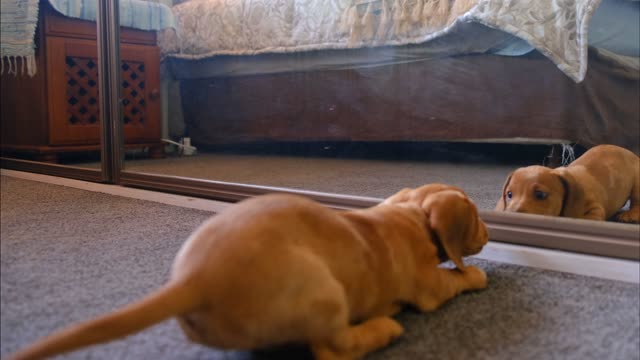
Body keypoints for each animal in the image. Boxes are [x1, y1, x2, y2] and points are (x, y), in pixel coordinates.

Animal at [10, 184, 488, 358]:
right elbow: (454, 278)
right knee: (331, 349)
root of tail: (196, 279)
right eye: (477, 215)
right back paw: (383, 329)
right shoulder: (429, 286)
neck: (409, 215)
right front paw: (476, 275)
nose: (487, 232)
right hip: (324, 293)